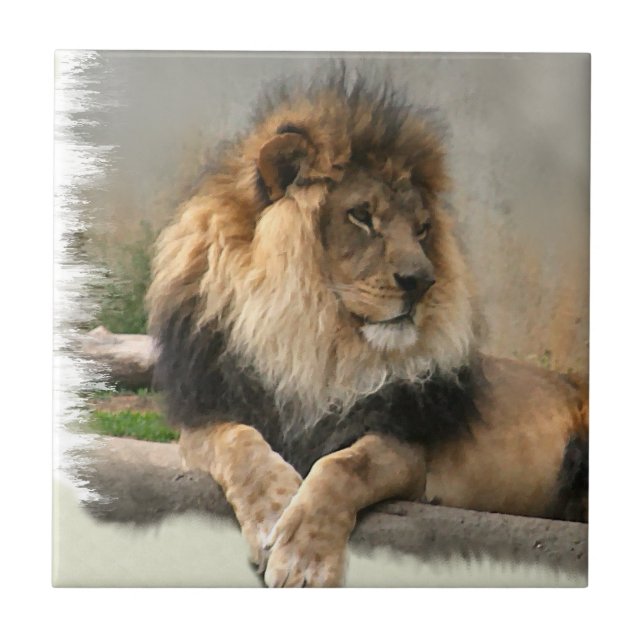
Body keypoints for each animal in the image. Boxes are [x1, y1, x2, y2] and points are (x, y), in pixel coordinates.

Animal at [146, 69, 588, 587]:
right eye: (361, 215)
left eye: (421, 229)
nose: (422, 281)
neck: (310, 343)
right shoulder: (204, 416)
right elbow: (239, 444)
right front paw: (275, 511)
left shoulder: (406, 445)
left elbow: (345, 466)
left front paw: (304, 558)